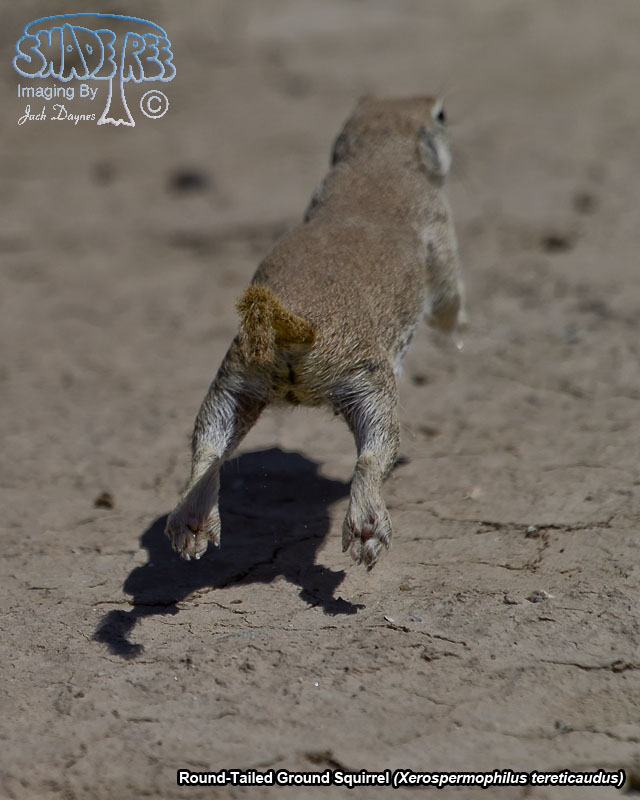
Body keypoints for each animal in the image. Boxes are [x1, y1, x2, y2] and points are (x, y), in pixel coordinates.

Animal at [166, 95, 465, 570]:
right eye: (440, 114)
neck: (376, 158)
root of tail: (294, 325)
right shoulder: (438, 219)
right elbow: (449, 292)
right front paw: (459, 322)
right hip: (369, 381)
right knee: (373, 453)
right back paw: (366, 527)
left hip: (236, 377)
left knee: (208, 445)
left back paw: (191, 522)